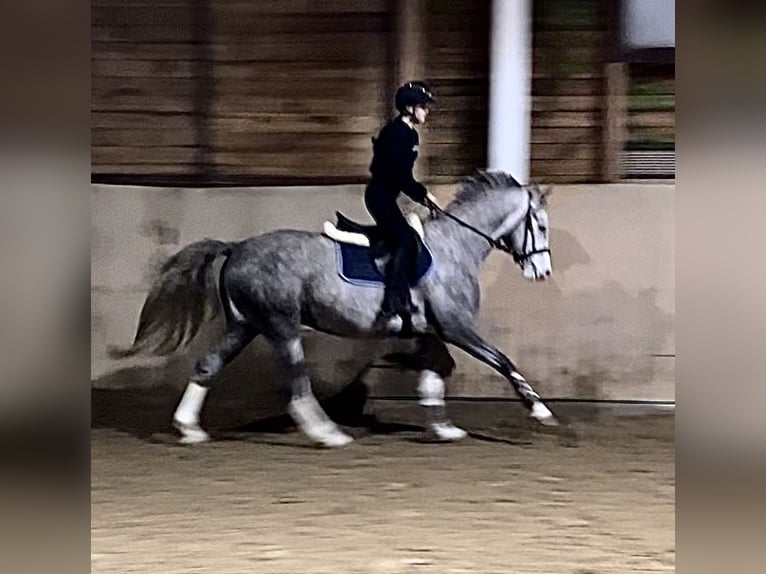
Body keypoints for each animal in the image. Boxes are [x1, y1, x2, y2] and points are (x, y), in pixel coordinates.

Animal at [111, 171, 560, 450]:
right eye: (539, 225)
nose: (542, 271)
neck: (456, 246)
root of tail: (237, 247)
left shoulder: (429, 331)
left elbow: (436, 372)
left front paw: (442, 427)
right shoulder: (456, 327)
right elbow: (502, 361)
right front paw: (541, 411)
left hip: (245, 325)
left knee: (209, 365)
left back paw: (190, 430)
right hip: (281, 324)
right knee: (297, 383)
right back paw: (327, 434)